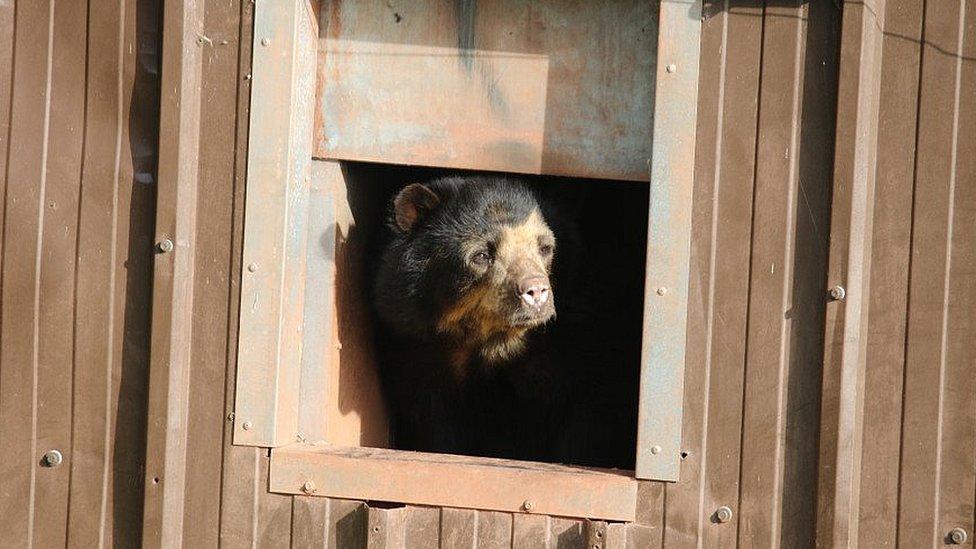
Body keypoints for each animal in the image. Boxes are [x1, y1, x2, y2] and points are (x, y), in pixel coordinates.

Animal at [370, 176, 636, 466]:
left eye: (545, 247)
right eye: (481, 256)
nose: (536, 291)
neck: (495, 340)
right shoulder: (415, 347)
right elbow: (434, 420)